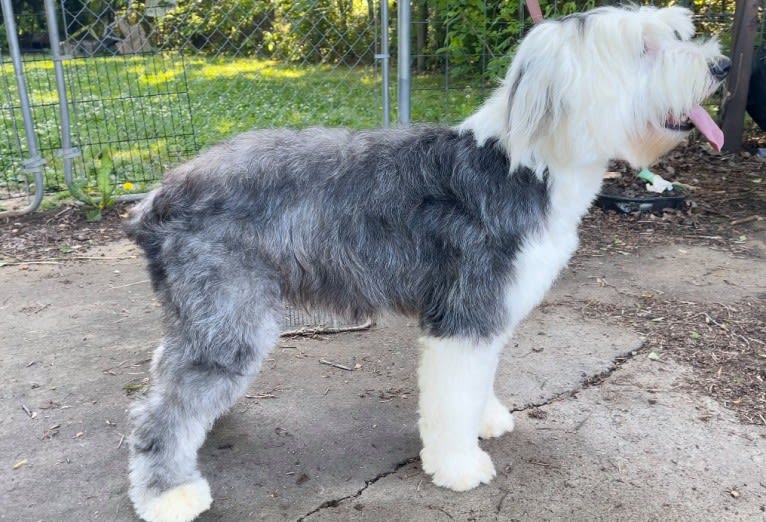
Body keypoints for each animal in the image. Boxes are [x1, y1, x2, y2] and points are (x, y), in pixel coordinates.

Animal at [126, 5, 732, 520]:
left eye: (676, 33)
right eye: (645, 47)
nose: (722, 66)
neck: (527, 164)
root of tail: (159, 194)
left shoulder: (491, 312)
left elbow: (479, 381)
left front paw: (486, 420)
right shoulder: (465, 311)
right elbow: (453, 394)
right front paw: (459, 466)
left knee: (166, 371)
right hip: (228, 311)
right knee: (162, 410)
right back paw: (168, 493)